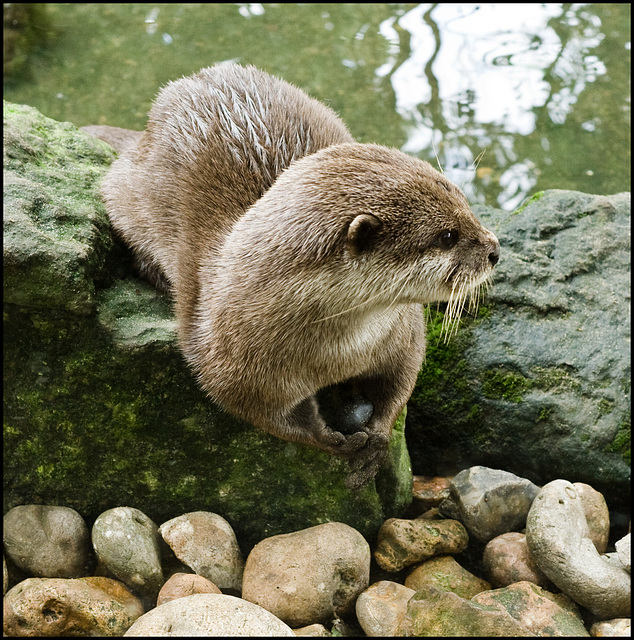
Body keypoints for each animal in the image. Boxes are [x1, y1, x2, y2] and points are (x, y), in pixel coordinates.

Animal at [85, 63, 498, 490]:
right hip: (127, 194)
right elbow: (263, 416)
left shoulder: (404, 330)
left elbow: (403, 380)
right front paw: (332, 441)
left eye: (467, 206)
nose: (495, 250)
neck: (337, 354)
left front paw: (378, 438)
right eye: (447, 236)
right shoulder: (228, 367)